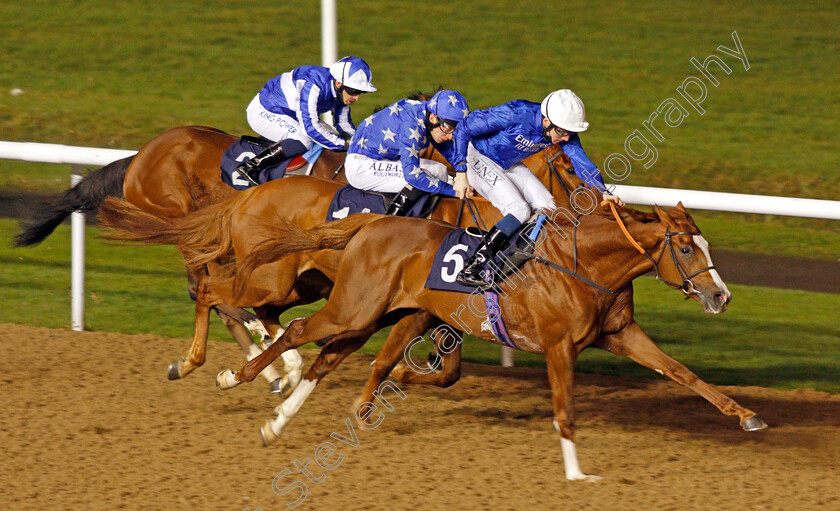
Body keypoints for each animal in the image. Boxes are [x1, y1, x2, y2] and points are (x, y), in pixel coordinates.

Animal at [97, 144, 592, 396]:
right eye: (568, 166)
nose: (597, 203)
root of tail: (248, 195)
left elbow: (449, 369)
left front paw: (401, 372)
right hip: (271, 275)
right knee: (212, 294)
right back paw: (198, 363)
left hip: (301, 281)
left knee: (263, 311)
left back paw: (280, 366)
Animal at [215, 202, 768, 482]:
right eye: (684, 247)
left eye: (706, 245)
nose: (721, 296)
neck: (585, 265)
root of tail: (376, 222)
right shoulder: (559, 346)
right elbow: (565, 411)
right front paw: (576, 474)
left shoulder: (619, 334)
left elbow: (682, 372)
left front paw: (746, 415)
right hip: (354, 307)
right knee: (300, 331)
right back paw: (237, 376)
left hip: (381, 315)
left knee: (330, 359)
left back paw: (278, 423)